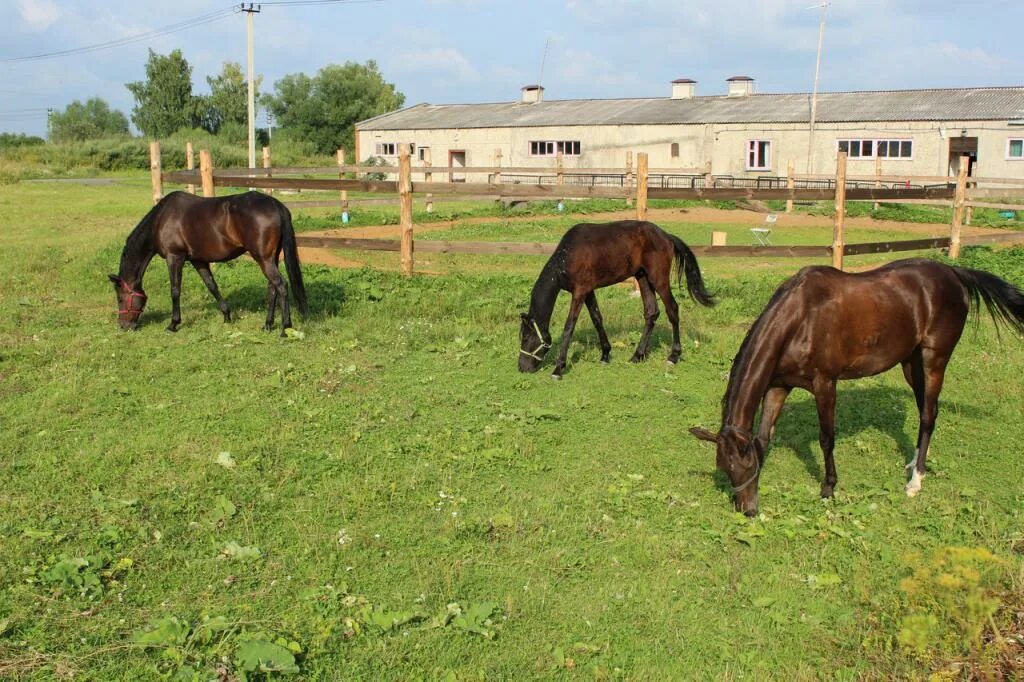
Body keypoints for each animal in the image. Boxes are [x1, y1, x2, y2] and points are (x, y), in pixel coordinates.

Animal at [110, 189, 307, 333]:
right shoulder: (198, 260)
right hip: (270, 258)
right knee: (272, 288)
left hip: (263, 259)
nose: (123, 326)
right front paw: (227, 316)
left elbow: (175, 290)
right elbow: (212, 286)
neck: (161, 220)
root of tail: (276, 205)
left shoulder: (175, 257)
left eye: (120, 298)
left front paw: (173, 324)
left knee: (281, 285)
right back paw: (267, 324)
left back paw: (285, 328)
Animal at [516, 218, 716, 376]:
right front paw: (605, 354)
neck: (568, 257)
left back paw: (673, 356)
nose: (522, 367)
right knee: (652, 312)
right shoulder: (588, 291)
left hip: (658, 279)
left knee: (672, 309)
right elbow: (597, 319)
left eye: (525, 338)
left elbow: (569, 327)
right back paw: (637, 355)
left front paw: (559, 368)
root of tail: (666, 236)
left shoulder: (579, 292)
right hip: (642, 278)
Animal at [688, 258, 1024, 512]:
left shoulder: (825, 383)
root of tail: (953, 272)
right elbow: (762, 436)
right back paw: (914, 464)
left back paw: (915, 481)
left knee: (929, 416)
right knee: (925, 411)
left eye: (744, 467)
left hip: (934, 360)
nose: (747, 510)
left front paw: (828, 488)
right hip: (910, 363)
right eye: (726, 469)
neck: (801, 319)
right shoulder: (778, 386)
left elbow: (826, 438)